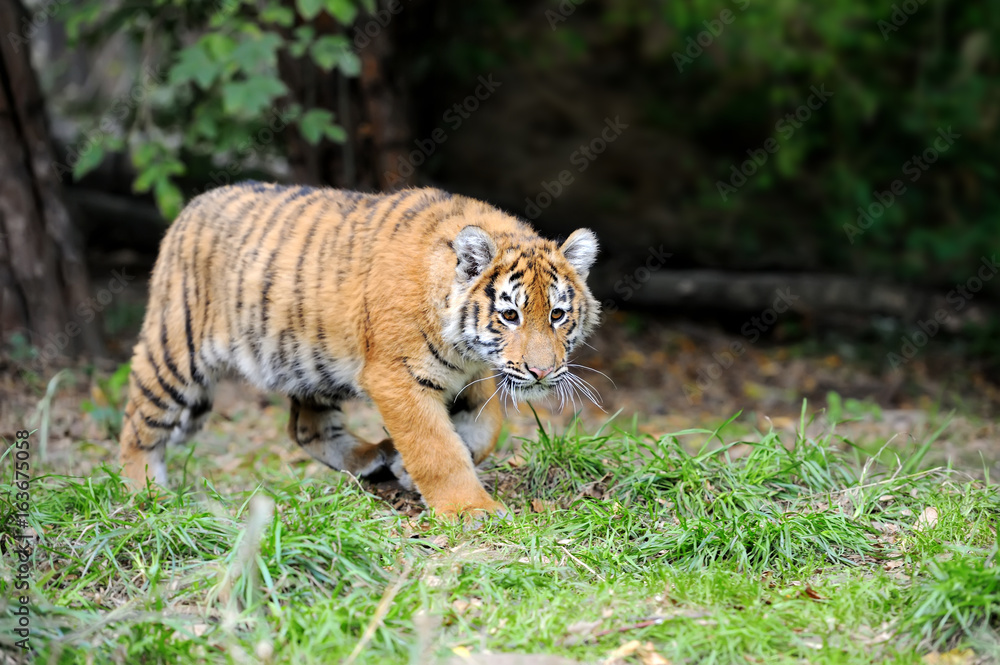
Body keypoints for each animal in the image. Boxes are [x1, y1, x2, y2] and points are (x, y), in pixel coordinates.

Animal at [119, 181, 600, 516]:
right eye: (510, 315)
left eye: (557, 315)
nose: (541, 372)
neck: (466, 350)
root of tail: (191, 206)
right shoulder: (397, 377)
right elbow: (436, 449)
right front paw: (471, 510)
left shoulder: (475, 372)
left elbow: (484, 428)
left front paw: (413, 468)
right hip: (174, 353)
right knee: (139, 424)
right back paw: (145, 493)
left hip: (310, 364)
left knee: (306, 428)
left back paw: (372, 459)